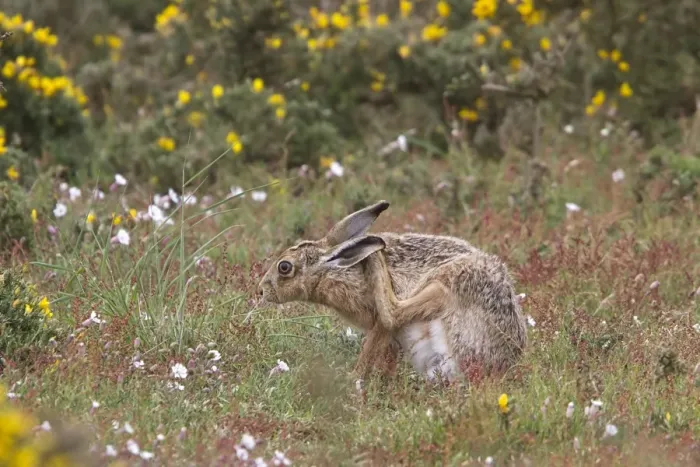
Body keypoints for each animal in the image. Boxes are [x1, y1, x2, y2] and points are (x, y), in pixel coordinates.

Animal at [257, 201, 527, 382]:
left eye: (284, 267)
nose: (261, 291)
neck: (335, 268)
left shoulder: (378, 325)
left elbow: (374, 343)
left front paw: (354, 377)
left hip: (447, 284)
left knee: (394, 312)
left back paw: (377, 256)